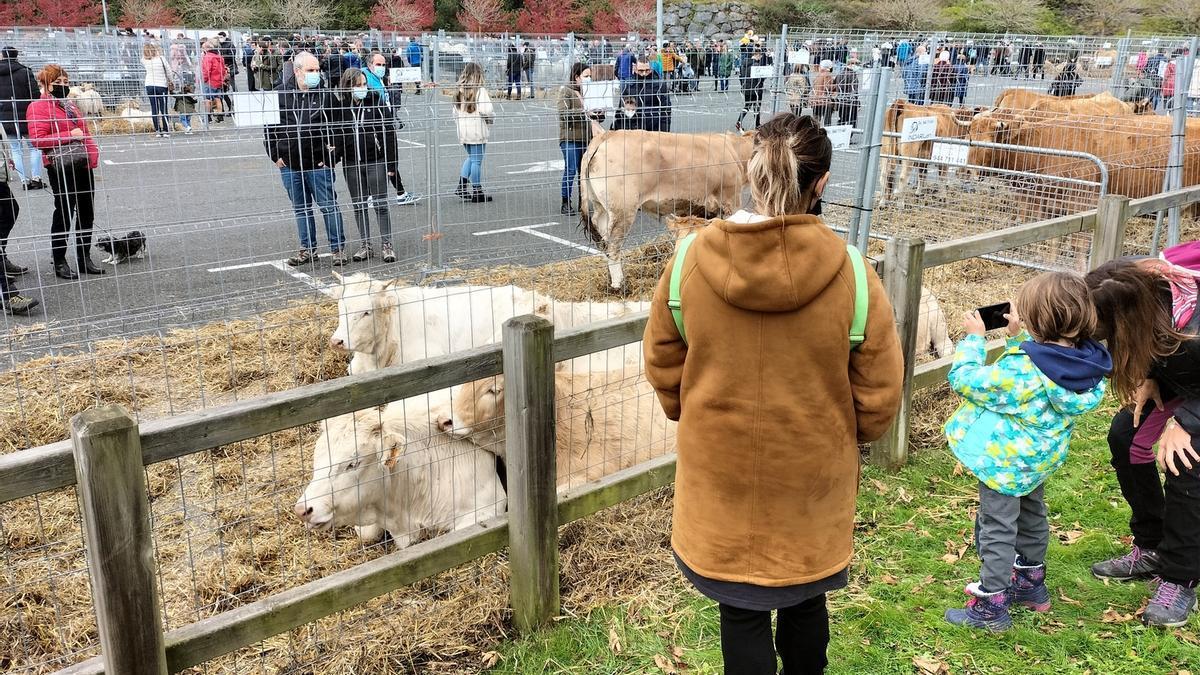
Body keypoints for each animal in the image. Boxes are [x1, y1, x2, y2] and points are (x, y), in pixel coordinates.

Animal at [578, 130, 753, 290]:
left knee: (603, 239)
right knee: (613, 247)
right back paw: (619, 285)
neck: (733, 149)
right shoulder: (731, 201)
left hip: (601, 207)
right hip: (622, 211)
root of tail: (607, 134)